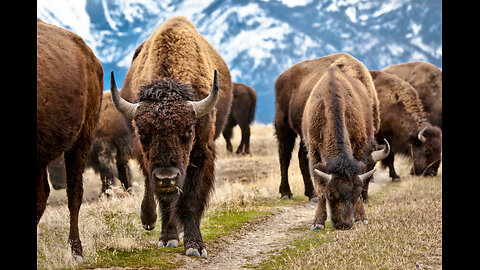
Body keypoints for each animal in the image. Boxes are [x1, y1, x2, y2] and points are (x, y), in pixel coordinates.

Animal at [111, 16, 234, 258]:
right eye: (142, 131)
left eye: (188, 130)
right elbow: (164, 199)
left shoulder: (201, 153)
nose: (166, 177)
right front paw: (168, 238)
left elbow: (190, 199)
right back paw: (149, 219)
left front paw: (195, 245)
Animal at [274, 53, 390, 230]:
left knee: (300, 157)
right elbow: (320, 184)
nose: (343, 224)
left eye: (370, 172)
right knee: (284, 157)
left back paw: (310, 195)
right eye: (331, 195)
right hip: (284, 128)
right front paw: (317, 223)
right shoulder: (315, 151)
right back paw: (287, 193)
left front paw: (361, 217)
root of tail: (281, 77)